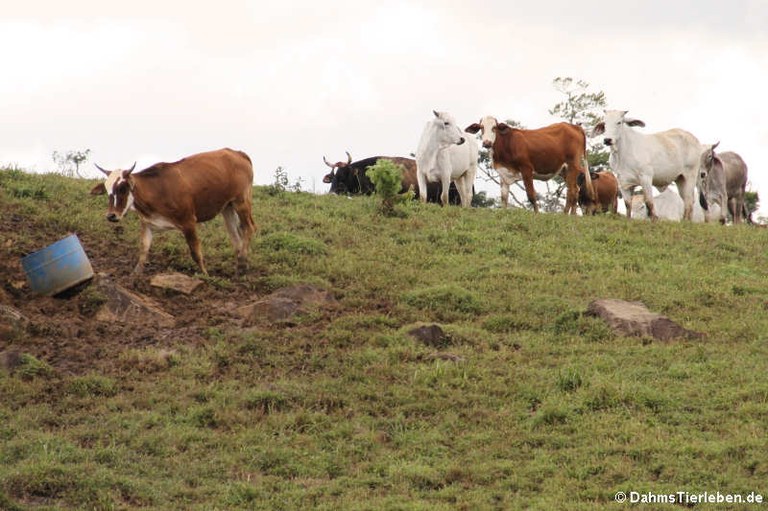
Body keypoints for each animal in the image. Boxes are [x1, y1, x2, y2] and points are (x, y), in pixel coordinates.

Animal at [90, 148, 256, 276]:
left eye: (123, 188)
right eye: (107, 190)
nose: (111, 216)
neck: (157, 190)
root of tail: (237, 153)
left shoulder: (189, 222)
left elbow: (195, 252)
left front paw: (205, 275)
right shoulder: (147, 223)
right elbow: (143, 250)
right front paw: (134, 275)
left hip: (241, 201)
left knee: (249, 227)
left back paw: (242, 262)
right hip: (227, 206)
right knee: (235, 236)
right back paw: (241, 266)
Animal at [462, 116, 592, 214]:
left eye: (494, 127)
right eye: (481, 128)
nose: (487, 143)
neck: (507, 144)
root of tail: (574, 126)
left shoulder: (526, 169)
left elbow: (531, 195)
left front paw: (536, 214)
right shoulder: (503, 174)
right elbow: (504, 197)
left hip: (573, 165)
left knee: (571, 191)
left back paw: (565, 215)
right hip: (564, 170)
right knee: (575, 190)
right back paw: (572, 215)